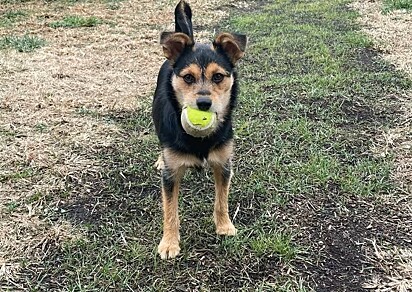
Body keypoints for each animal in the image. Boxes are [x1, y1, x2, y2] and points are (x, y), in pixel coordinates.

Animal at [152, 0, 246, 260]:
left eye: (218, 76)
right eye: (188, 78)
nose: (203, 104)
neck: (199, 139)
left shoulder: (223, 164)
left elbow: (221, 200)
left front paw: (224, 226)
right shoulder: (171, 176)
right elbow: (170, 210)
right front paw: (169, 243)